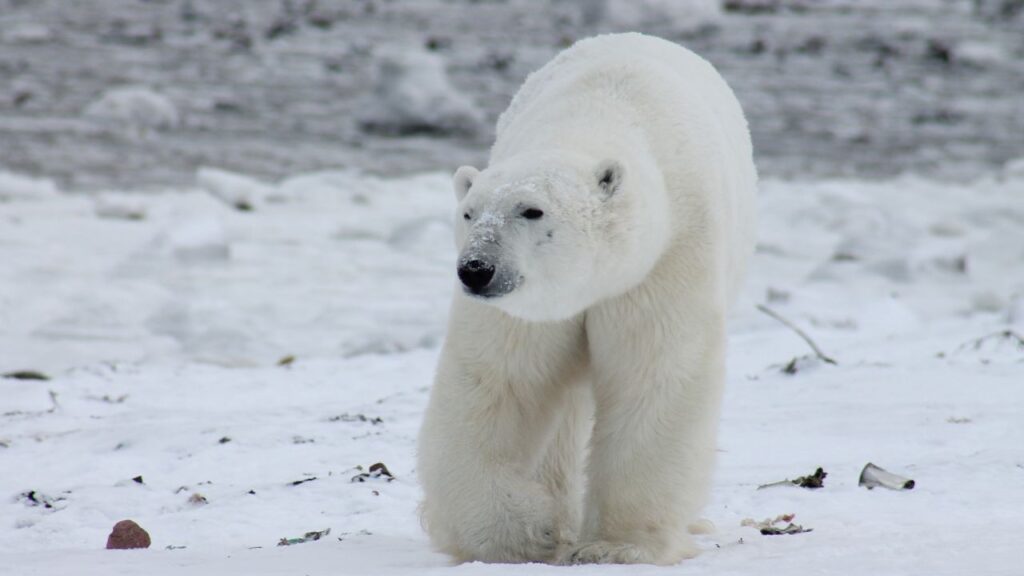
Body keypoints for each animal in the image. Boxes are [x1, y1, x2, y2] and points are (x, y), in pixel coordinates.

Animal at [417, 32, 757, 565]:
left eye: (531, 210)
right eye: (469, 213)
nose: (475, 269)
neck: (597, 115)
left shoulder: (665, 259)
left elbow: (654, 376)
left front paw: (617, 546)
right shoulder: (529, 309)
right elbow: (498, 382)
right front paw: (523, 532)